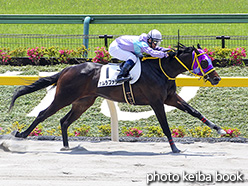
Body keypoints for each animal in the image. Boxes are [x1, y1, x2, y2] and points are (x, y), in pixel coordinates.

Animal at [9, 43, 225, 153]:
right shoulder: (156, 102)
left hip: (83, 102)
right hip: (63, 97)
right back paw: (21, 135)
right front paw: (174, 148)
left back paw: (67, 145)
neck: (161, 70)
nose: (216, 78)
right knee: (43, 114)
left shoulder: (170, 97)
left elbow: (194, 111)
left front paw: (220, 130)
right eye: (204, 61)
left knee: (64, 121)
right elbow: (164, 125)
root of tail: (66, 69)